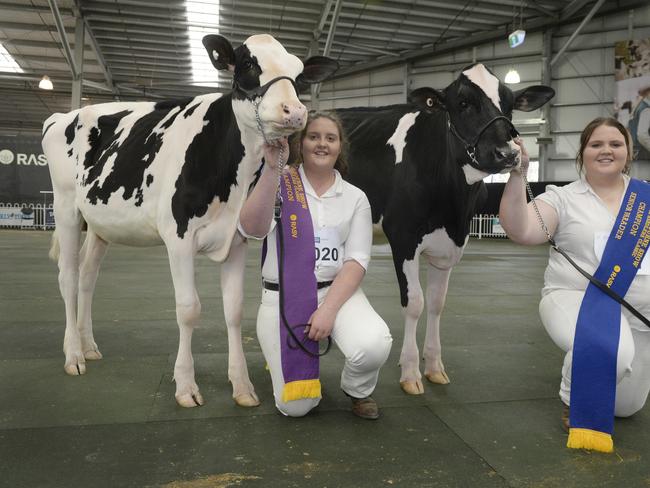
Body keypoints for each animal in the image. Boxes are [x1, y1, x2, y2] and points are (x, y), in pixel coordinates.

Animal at [41, 33, 336, 408]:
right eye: (248, 65)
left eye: (299, 76)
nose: (294, 112)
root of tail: (66, 114)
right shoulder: (178, 238)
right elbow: (188, 309)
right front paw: (185, 385)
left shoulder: (237, 240)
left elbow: (234, 310)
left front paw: (242, 386)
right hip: (66, 207)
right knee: (67, 277)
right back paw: (74, 355)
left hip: (99, 224)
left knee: (87, 277)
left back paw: (88, 345)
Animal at [334, 63, 552, 394]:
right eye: (462, 103)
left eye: (510, 105)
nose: (507, 153)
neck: (452, 207)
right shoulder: (404, 238)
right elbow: (414, 303)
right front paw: (410, 371)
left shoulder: (450, 246)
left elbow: (437, 304)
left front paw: (434, 366)